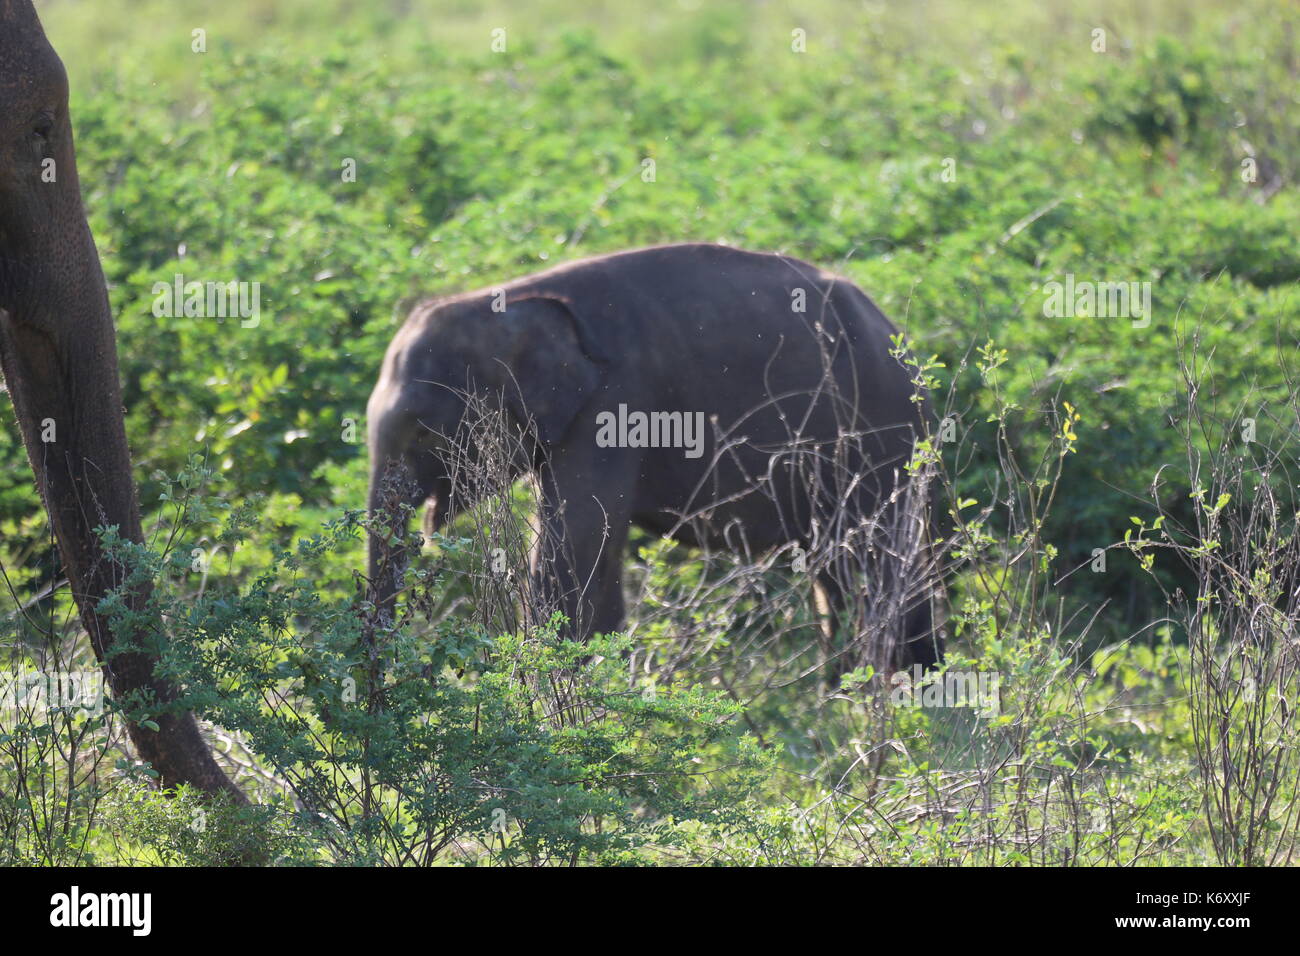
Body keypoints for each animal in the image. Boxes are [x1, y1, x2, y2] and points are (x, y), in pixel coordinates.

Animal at [368, 242, 944, 670]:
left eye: (422, 432)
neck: (508, 299)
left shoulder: (614, 403)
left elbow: (573, 545)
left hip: (883, 440)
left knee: (882, 562)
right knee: (839, 574)